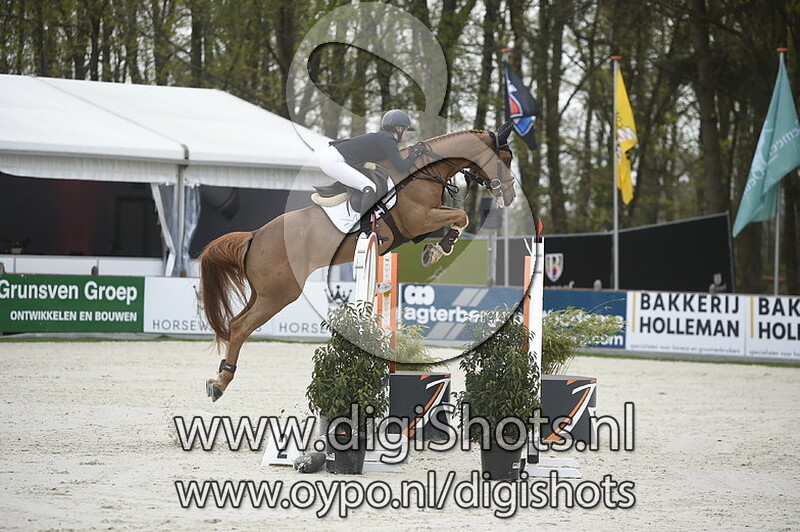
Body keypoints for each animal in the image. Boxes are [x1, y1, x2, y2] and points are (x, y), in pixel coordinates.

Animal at [199, 126, 516, 401]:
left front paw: (434, 250)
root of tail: (256, 236)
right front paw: (436, 251)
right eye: (507, 159)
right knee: (241, 327)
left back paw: (218, 378)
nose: (510, 196)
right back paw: (221, 383)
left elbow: (459, 219)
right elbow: (461, 217)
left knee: (235, 322)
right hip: (279, 293)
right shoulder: (419, 220)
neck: (422, 172)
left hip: (262, 292)